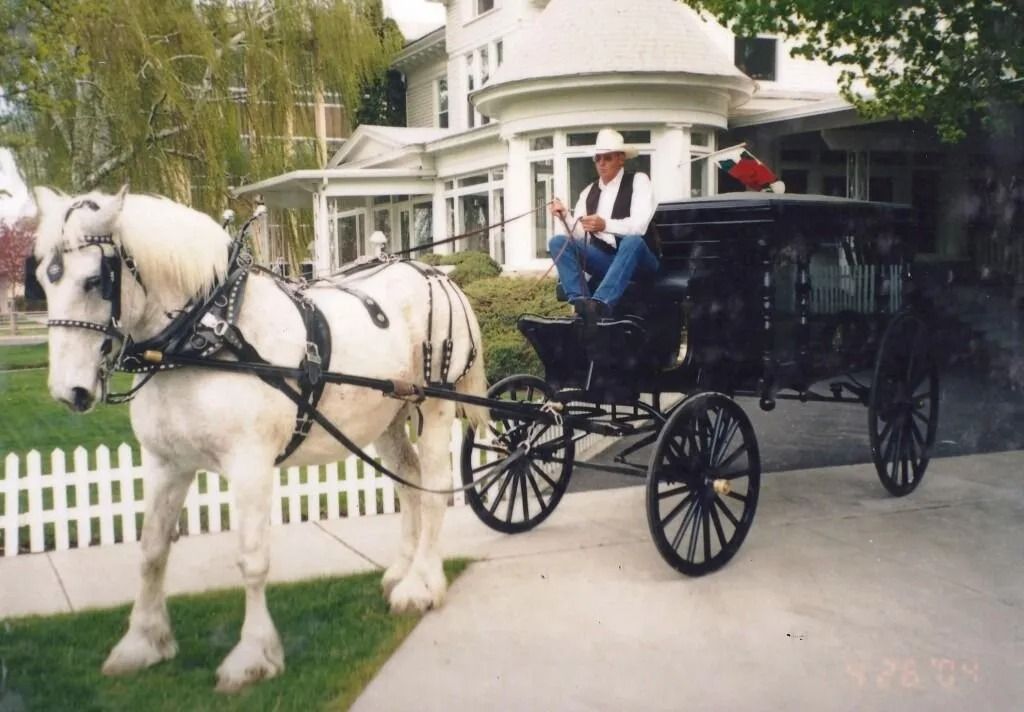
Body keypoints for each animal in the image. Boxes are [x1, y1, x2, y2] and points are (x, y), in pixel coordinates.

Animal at [31, 186, 488, 691]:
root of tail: (437, 274)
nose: (69, 391)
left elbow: (251, 559)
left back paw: (422, 584)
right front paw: (142, 643)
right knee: (407, 480)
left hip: (436, 405)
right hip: (387, 415)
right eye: (42, 279)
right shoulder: (165, 462)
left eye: (95, 280)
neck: (207, 333)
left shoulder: (249, 466)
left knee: (434, 488)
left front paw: (252, 656)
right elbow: (151, 550)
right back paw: (402, 572)